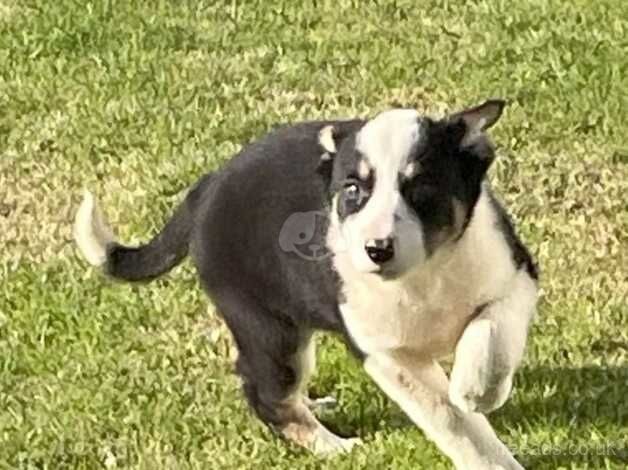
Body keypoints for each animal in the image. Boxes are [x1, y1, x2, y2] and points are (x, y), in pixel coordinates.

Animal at [76, 101, 540, 468]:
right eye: (352, 191)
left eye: (422, 189)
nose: (377, 250)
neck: (423, 276)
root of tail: (205, 190)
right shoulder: (385, 355)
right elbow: (454, 422)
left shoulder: (516, 279)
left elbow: (491, 333)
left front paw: (477, 388)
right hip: (270, 330)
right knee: (265, 393)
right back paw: (332, 446)